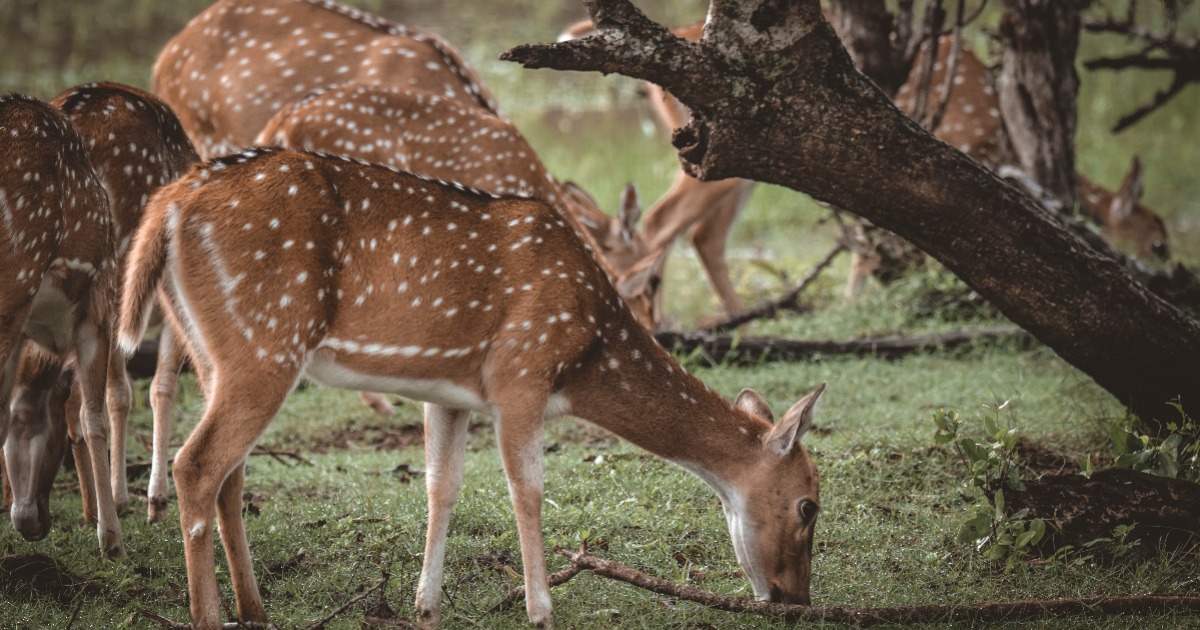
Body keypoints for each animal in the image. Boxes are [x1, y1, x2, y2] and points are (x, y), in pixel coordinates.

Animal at [0, 93, 124, 554]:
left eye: (33, 424)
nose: (30, 522)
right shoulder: (99, 306)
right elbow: (93, 416)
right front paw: (111, 538)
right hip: (14, 279)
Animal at [119, 146, 825, 624]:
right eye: (809, 505)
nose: (795, 599)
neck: (586, 349)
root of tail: (166, 204)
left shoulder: (448, 393)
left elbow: (442, 486)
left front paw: (425, 603)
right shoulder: (521, 374)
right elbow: (528, 489)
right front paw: (541, 608)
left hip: (211, 347)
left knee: (229, 472)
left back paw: (256, 608)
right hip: (264, 340)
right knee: (197, 463)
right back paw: (210, 615)